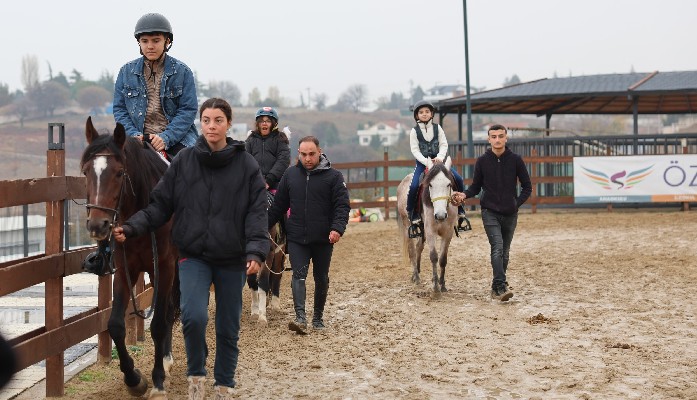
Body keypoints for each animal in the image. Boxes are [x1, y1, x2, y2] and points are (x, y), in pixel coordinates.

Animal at [81, 117, 179, 398]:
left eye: (119, 172)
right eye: (86, 172)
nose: (98, 225)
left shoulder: (165, 267)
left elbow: (158, 324)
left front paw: (157, 381)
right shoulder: (126, 269)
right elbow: (115, 325)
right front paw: (134, 379)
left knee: (170, 310)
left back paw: (166, 361)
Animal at [396, 158, 456, 298]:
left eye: (448, 184)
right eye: (430, 185)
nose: (440, 215)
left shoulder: (448, 232)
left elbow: (443, 259)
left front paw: (442, 285)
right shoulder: (430, 231)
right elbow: (434, 256)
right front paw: (435, 288)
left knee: (419, 247)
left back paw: (416, 274)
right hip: (407, 225)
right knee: (412, 251)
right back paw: (417, 278)